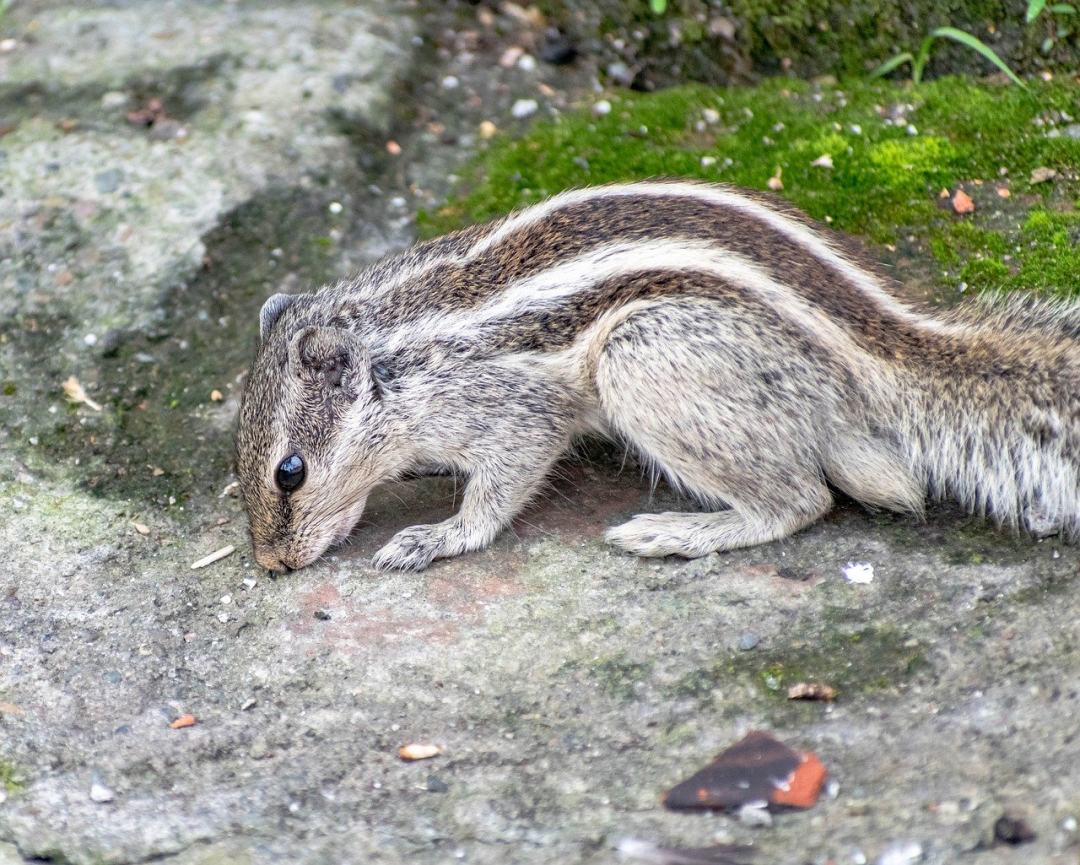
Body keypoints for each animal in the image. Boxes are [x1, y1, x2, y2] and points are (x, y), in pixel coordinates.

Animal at [238, 180, 1080, 574]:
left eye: (290, 471)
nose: (273, 564)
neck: (392, 346)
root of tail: (888, 347)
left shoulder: (510, 412)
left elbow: (496, 493)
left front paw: (436, 537)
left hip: (641, 357)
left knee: (802, 500)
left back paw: (674, 532)